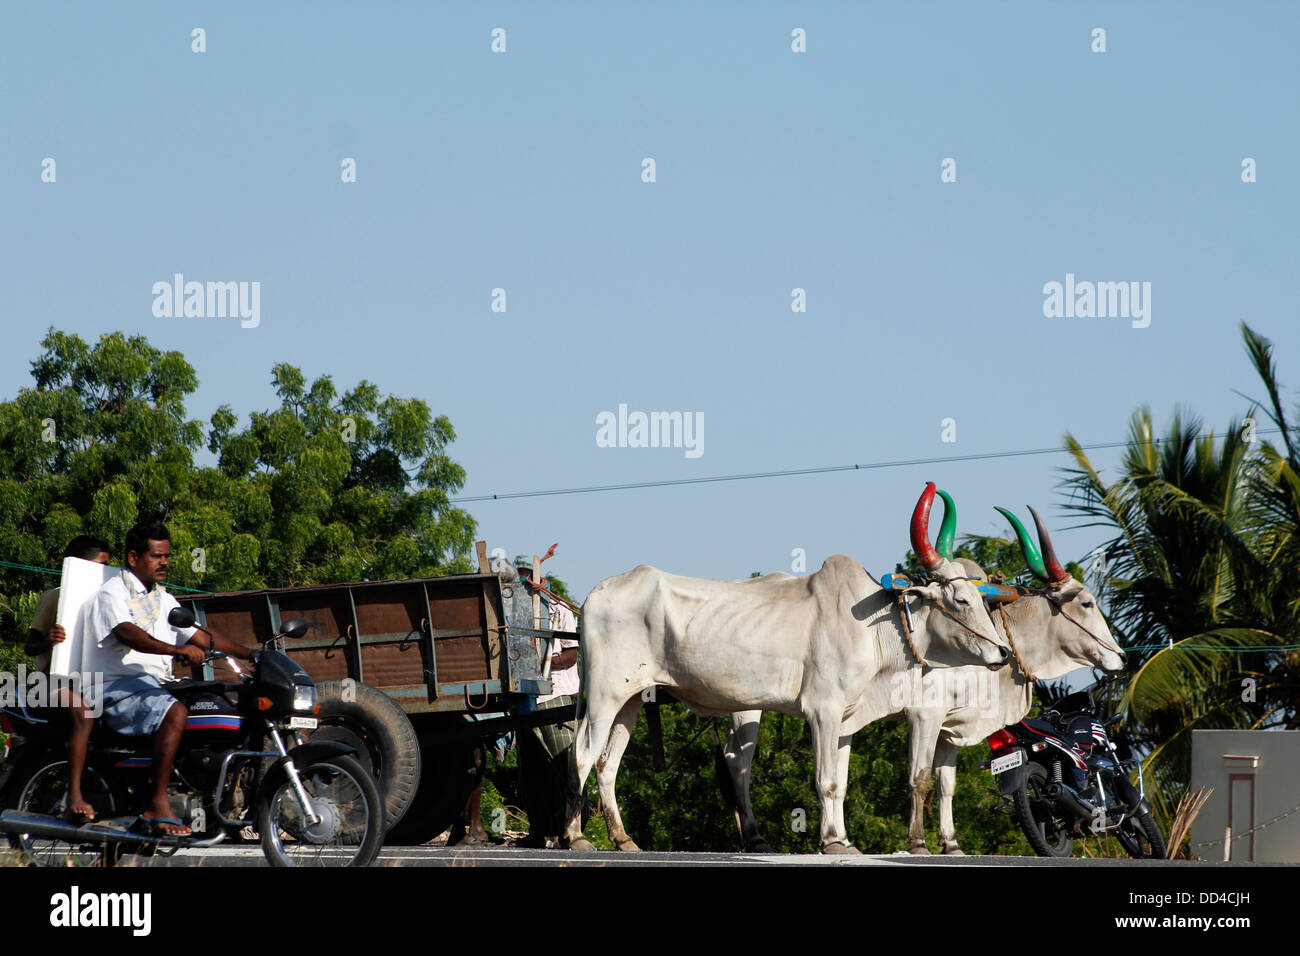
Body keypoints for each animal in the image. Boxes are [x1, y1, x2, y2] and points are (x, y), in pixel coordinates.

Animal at [564, 486, 1008, 853]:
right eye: (961, 600)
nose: (1003, 652)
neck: (872, 625)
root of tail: (596, 593)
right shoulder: (823, 711)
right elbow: (827, 780)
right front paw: (832, 842)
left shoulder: (845, 719)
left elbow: (841, 783)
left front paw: (844, 838)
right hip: (604, 695)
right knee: (581, 754)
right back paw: (575, 836)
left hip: (633, 699)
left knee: (607, 763)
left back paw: (623, 839)